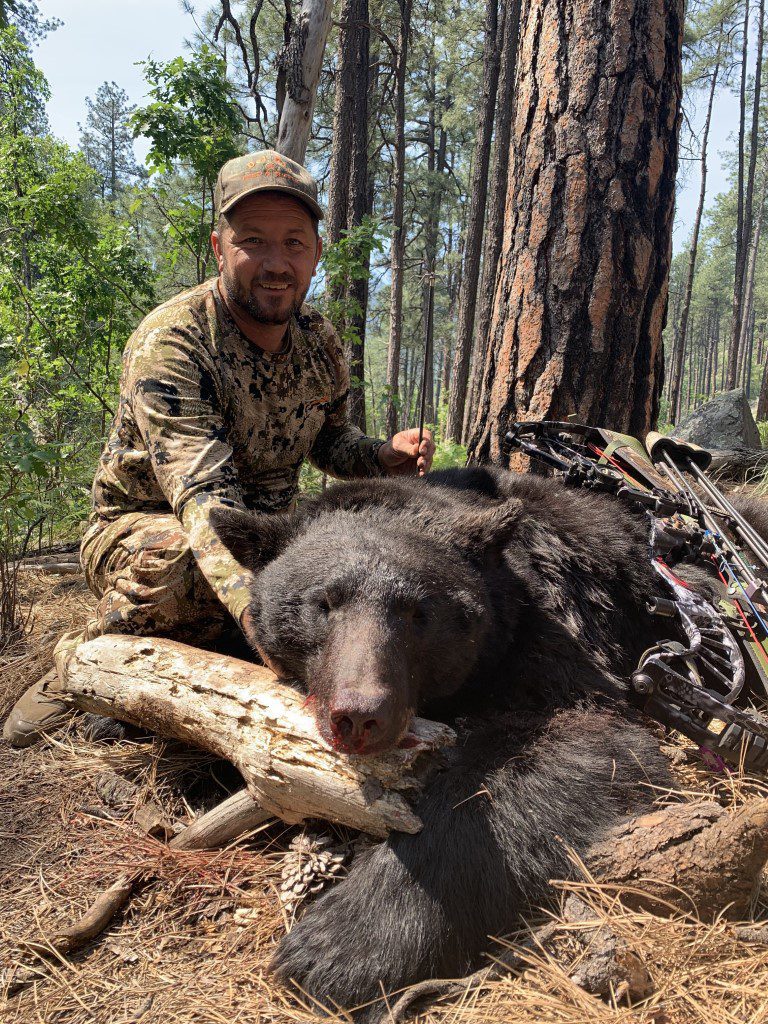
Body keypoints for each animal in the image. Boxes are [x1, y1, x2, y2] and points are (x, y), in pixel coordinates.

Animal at [210, 468, 671, 1015]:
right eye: (323, 603)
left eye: (418, 612)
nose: (360, 716)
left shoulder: (564, 645)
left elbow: (586, 747)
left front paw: (340, 945)